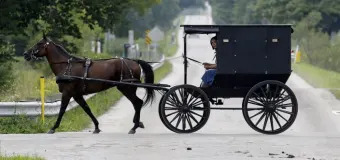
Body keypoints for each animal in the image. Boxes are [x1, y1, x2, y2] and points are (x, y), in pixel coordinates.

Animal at [23, 34, 155, 134]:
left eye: (39, 43)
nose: (25, 54)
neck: (67, 66)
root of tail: (134, 61)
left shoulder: (67, 93)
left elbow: (62, 110)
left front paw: (53, 128)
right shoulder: (77, 95)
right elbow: (87, 109)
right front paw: (96, 127)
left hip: (126, 88)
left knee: (137, 103)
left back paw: (134, 126)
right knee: (137, 103)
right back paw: (137, 123)